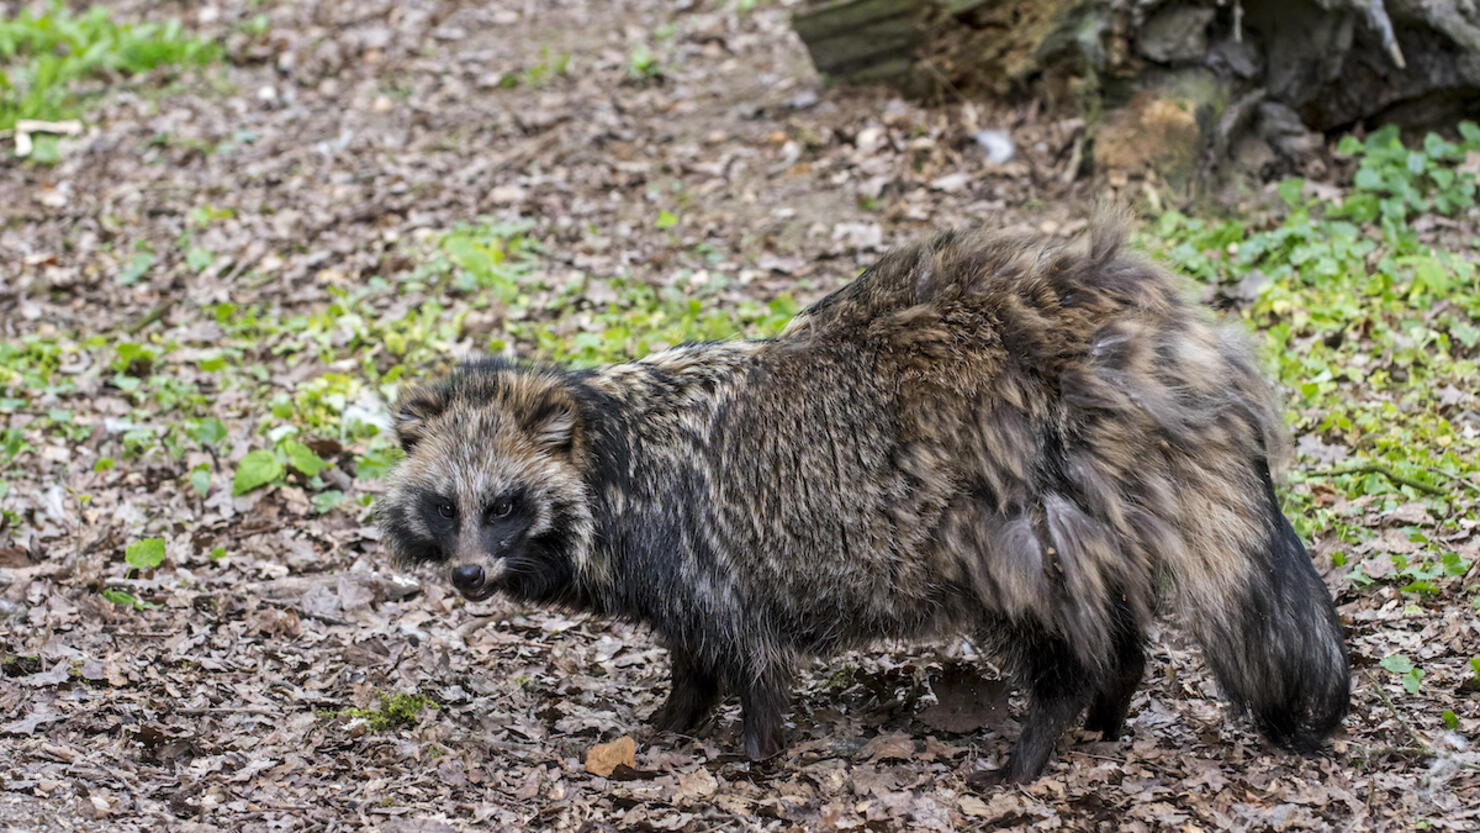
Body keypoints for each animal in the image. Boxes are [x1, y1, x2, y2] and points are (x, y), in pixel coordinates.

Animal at [378, 211, 1355, 787]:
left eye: (505, 504)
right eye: (447, 506)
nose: (468, 576)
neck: (609, 447)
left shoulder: (703, 552)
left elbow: (746, 654)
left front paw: (753, 746)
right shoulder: (676, 573)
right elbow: (691, 654)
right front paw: (673, 717)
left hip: (1016, 520)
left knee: (1057, 632)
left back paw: (1042, 734)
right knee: (1113, 623)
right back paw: (1110, 705)